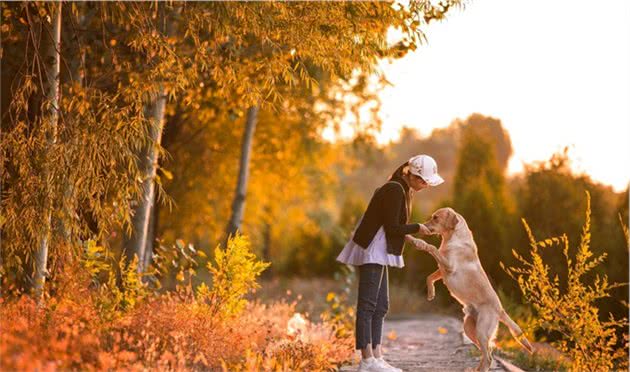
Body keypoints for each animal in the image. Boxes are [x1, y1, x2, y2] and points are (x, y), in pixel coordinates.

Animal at [408, 208, 536, 370]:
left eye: (435, 218)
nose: (423, 225)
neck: (453, 238)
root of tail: (500, 309)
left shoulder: (448, 266)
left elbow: (432, 248)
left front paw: (420, 243)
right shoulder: (442, 270)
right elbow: (429, 277)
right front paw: (431, 293)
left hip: (481, 330)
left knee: (488, 356)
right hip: (469, 328)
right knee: (488, 351)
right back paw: (476, 369)